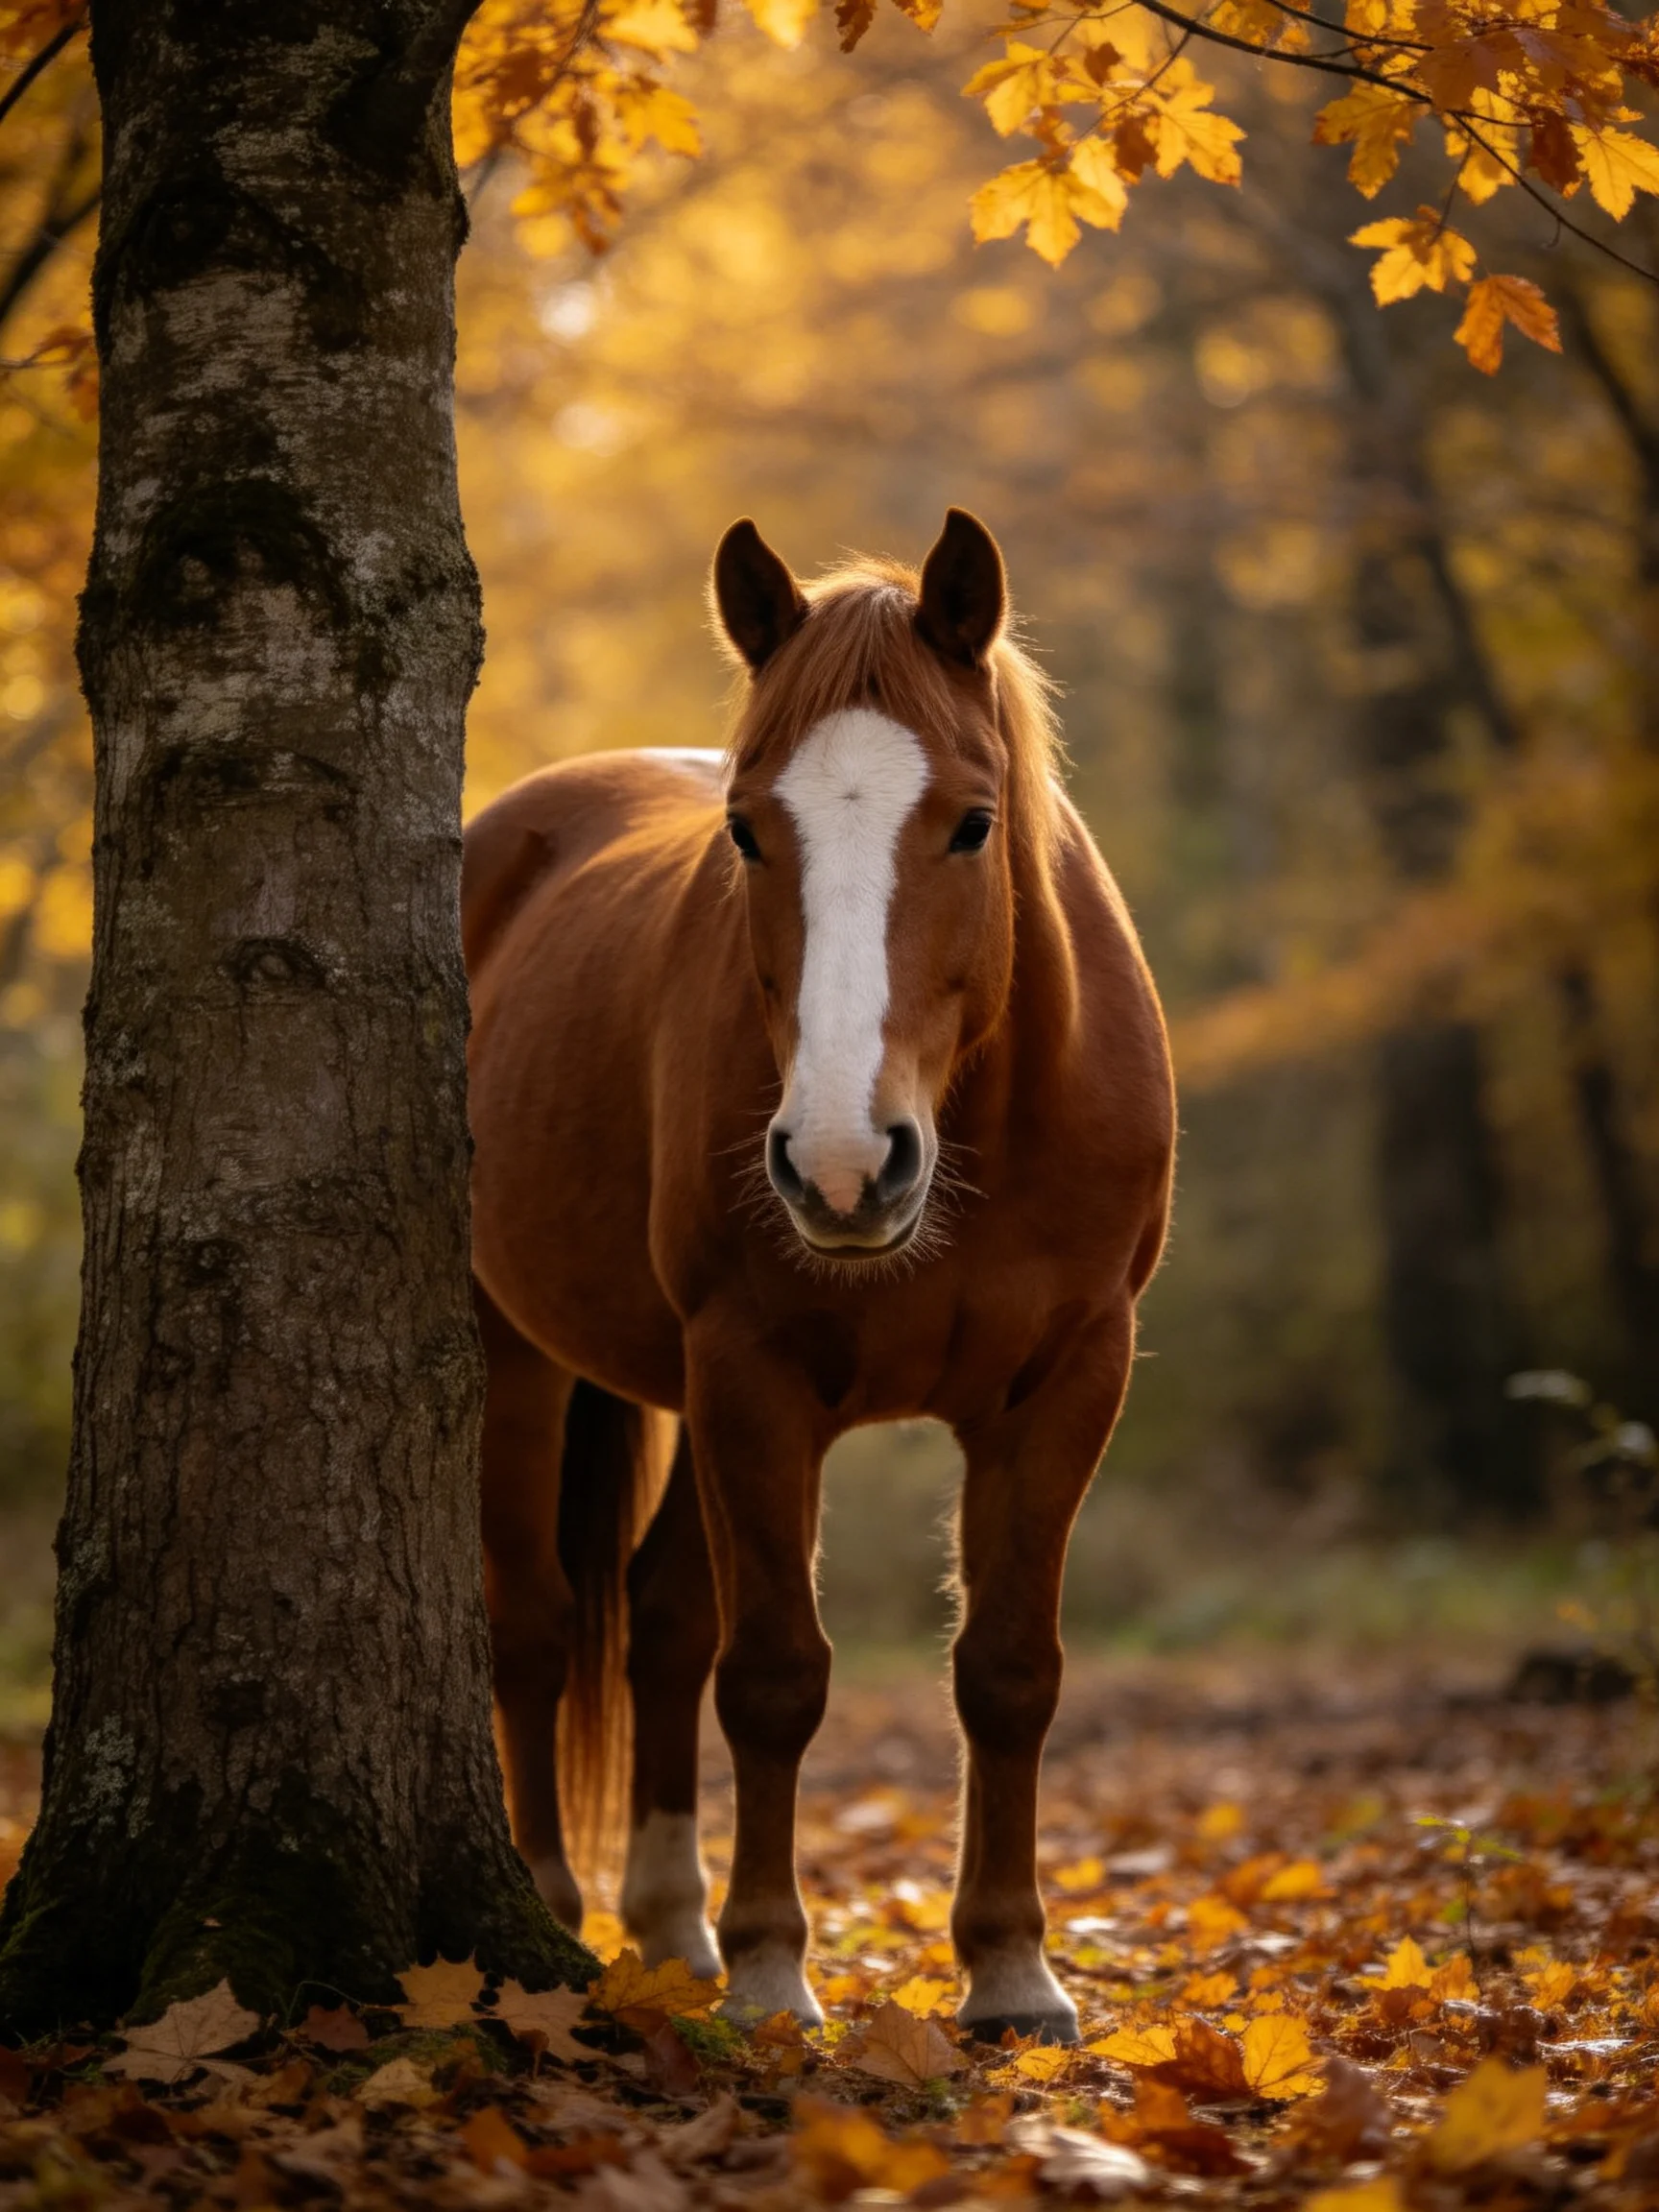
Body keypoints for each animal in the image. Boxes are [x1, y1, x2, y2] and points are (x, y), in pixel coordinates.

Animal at [462, 509, 1175, 2042]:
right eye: (746, 829)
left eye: (971, 821)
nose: (845, 1167)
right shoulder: (754, 1377)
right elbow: (776, 1676)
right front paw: (777, 1973)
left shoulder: (1067, 1382)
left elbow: (1008, 1671)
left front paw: (1012, 1972)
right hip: (518, 1358)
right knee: (538, 1626)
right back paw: (551, 1906)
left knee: (662, 1626)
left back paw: (670, 1925)